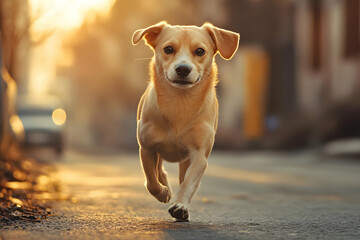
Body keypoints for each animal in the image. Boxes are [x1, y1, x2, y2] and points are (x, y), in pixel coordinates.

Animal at [132, 21, 239, 220]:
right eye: (168, 49)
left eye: (200, 51)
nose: (183, 68)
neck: (180, 102)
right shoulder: (147, 148)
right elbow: (151, 180)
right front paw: (163, 192)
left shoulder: (199, 154)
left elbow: (188, 182)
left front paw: (180, 205)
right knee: (159, 170)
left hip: (186, 159)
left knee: (183, 177)